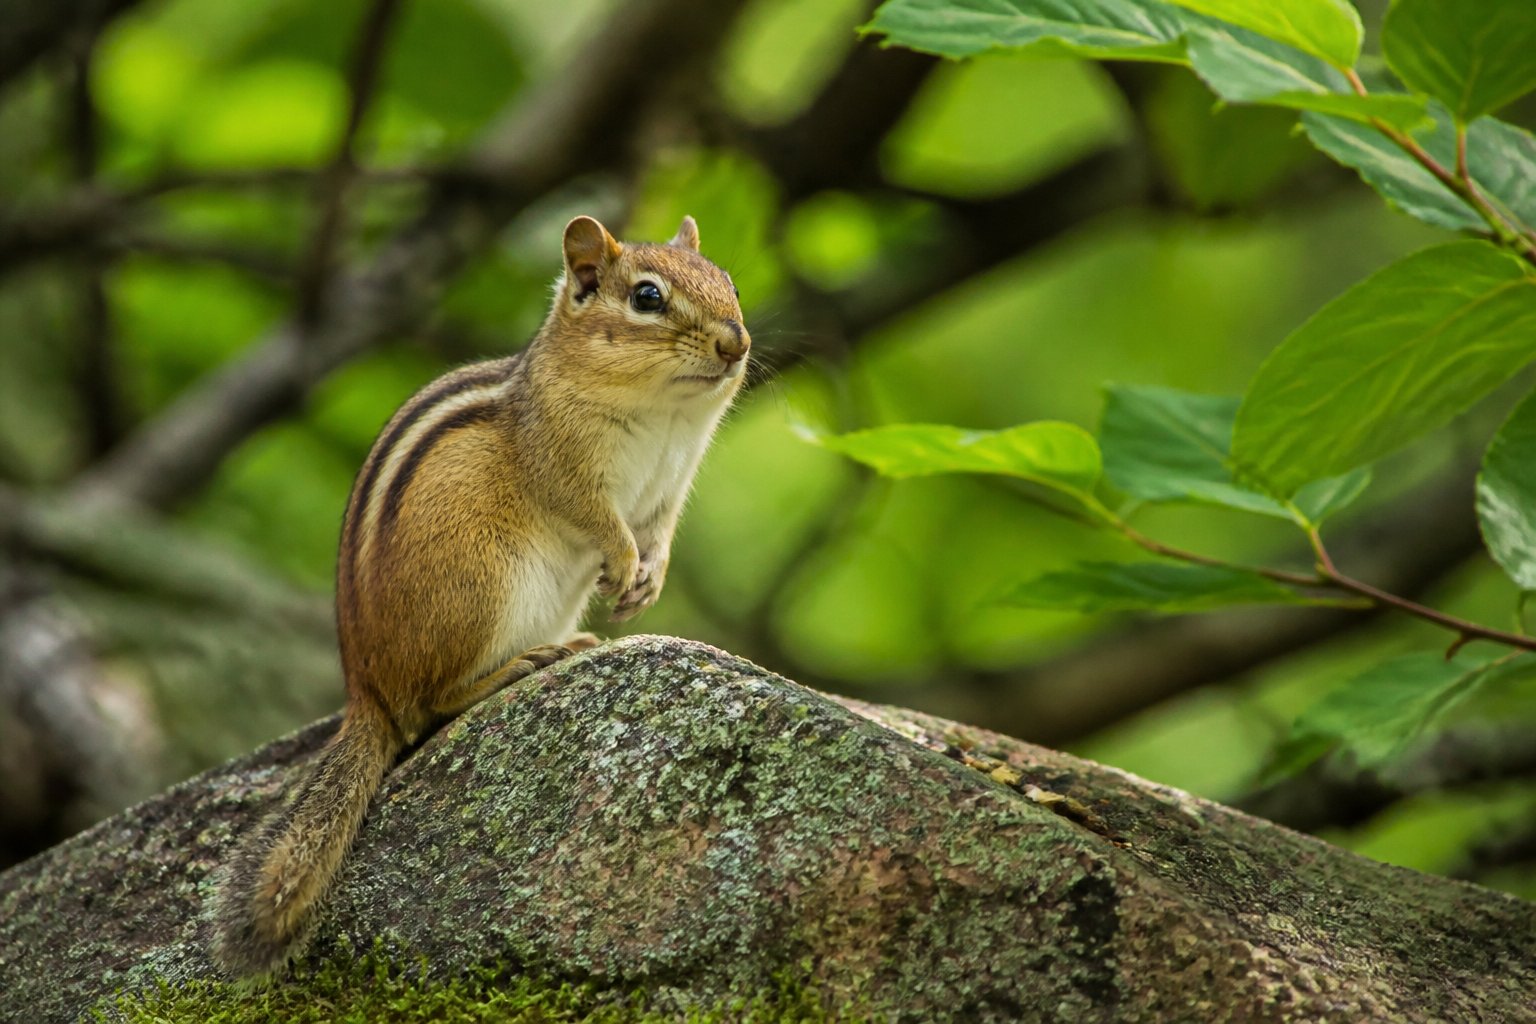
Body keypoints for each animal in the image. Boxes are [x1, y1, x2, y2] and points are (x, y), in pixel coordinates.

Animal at [211, 214, 749, 977]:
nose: (736, 342)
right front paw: (621, 563)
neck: (667, 414)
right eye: (647, 297)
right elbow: (598, 520)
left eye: (728, 281)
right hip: (484, 589)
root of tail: (365, 691)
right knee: (432, 706)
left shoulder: (669, 491)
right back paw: (523, 664)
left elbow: (661, 534)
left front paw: (647, 579)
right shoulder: (566, 469)